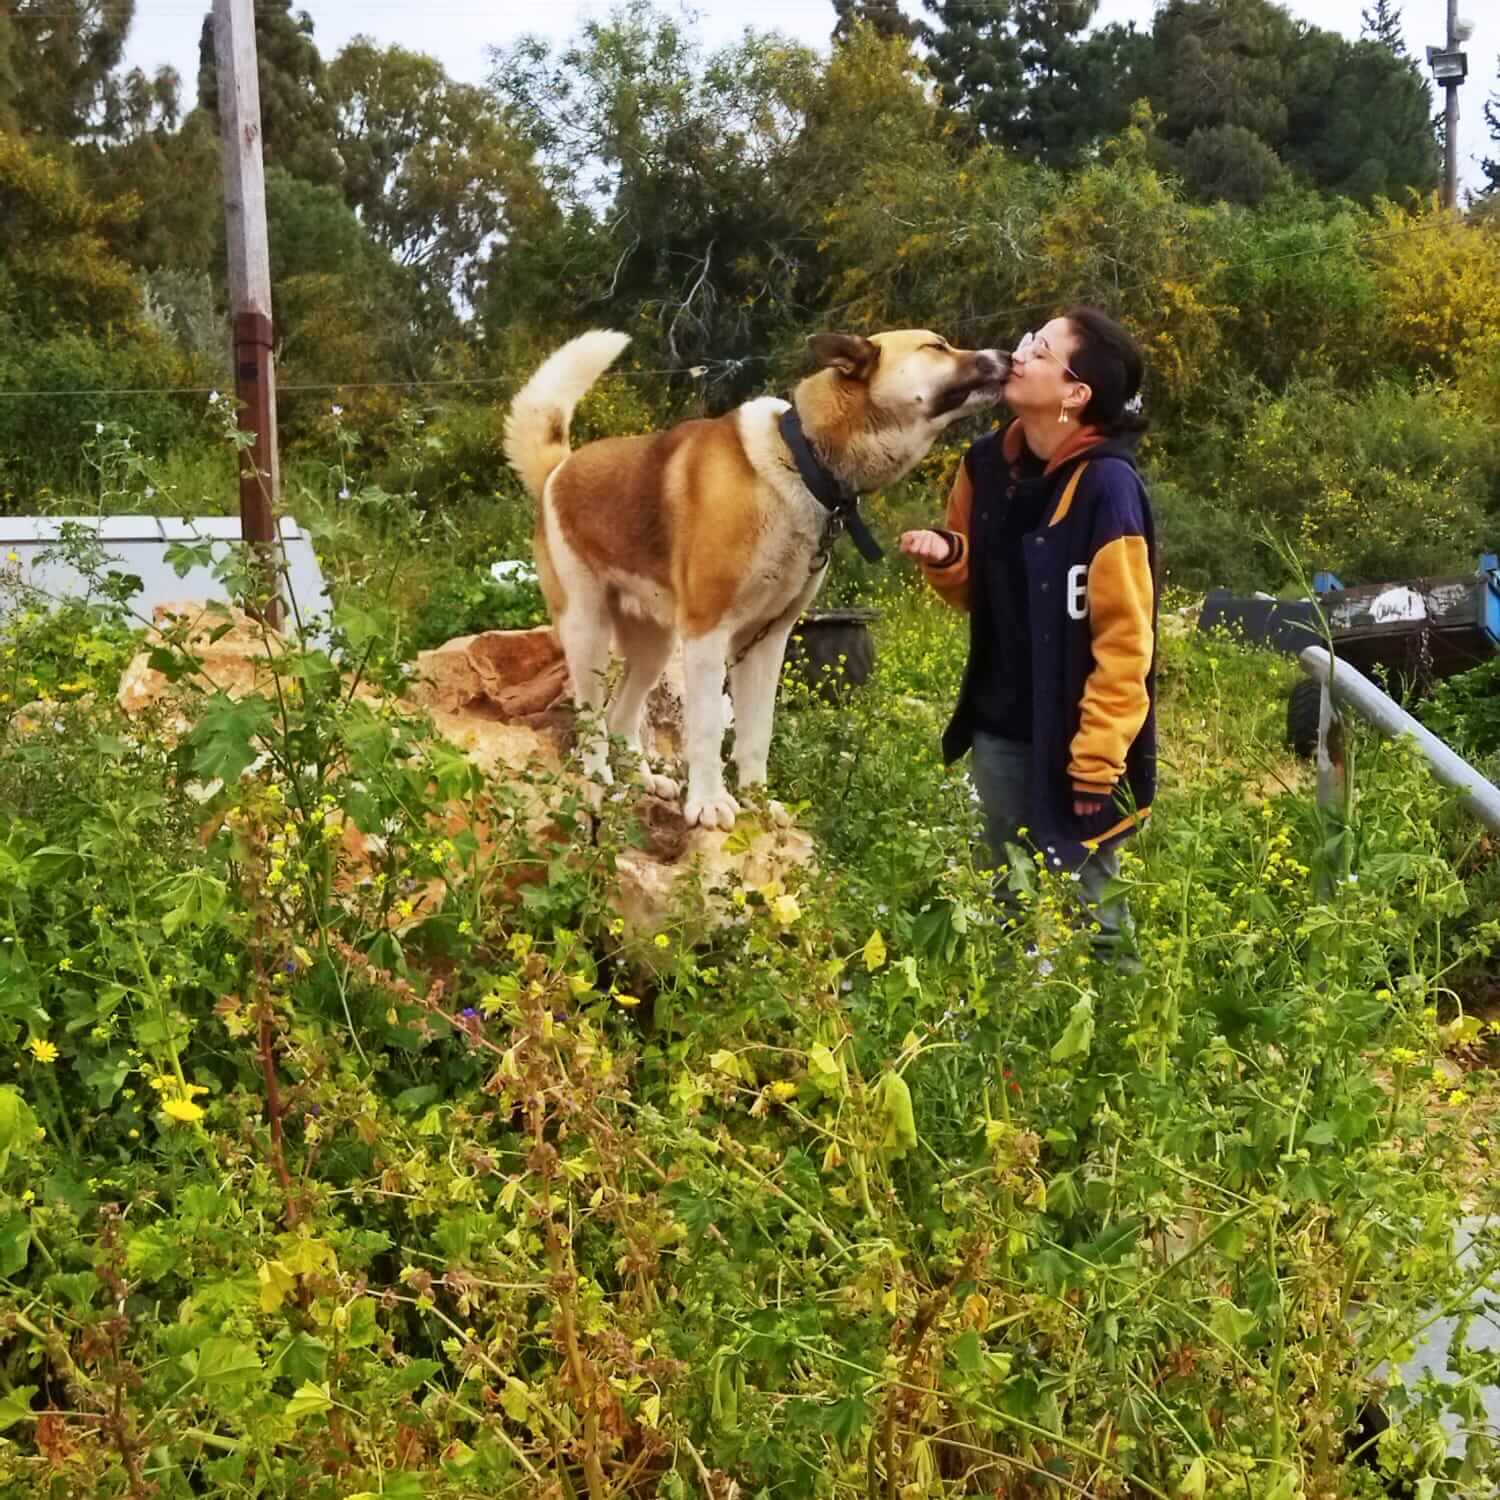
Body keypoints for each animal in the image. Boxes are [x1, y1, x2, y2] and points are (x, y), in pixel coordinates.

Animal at [504, 324, 1008, 834]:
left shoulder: (767, 640)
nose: (1007, 356)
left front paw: (758, 804)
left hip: (655, 646)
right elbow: (707, 729)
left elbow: (755, 735)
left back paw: (641, 781)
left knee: (621, 716)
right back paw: (602, 784)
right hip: (589, 634)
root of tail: (558, 469)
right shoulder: (707, 634)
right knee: (591, 724)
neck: (802, 461)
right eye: (936, 347)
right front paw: (709, 803)